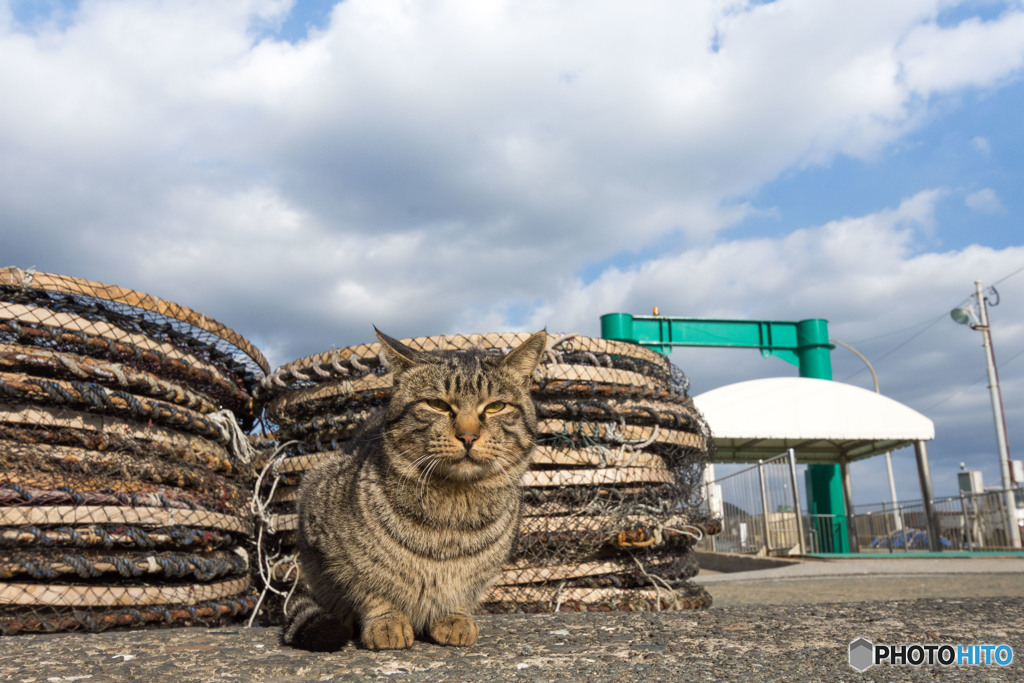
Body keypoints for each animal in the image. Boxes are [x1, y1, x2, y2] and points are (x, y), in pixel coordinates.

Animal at [280, 329, 548, 651]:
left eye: (495, 406)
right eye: (437, 404)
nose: (468, 436)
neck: (452, 509)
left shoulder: (483, 571)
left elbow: (463, 590)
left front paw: (454, 616)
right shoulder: (330, 541)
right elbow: (370, 588)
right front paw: (386, 622)